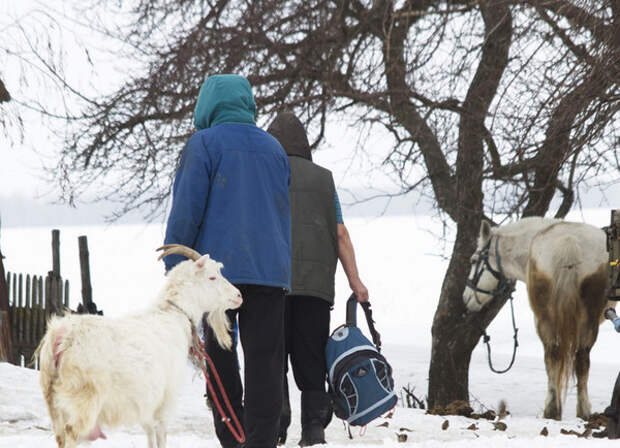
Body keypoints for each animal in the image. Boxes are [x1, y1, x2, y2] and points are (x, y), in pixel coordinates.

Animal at [34, 245, 242, 448]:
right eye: (212, 277)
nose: (238, 296)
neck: (173, 313)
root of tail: (61, 336)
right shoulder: (165, 400)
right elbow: (161, 436)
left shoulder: (148, 406)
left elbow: (150, 436)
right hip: (83, 400)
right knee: (72, 433)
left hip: (53, 403)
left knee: (60, 436)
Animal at [464, 217, 612, 420]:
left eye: (473, 260)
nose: (466, 297)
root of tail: (569, 241)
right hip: (585, 317)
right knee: (576, 358)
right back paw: (578, 411)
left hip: (547, 318)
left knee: (556, 356)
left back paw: (555, 411)